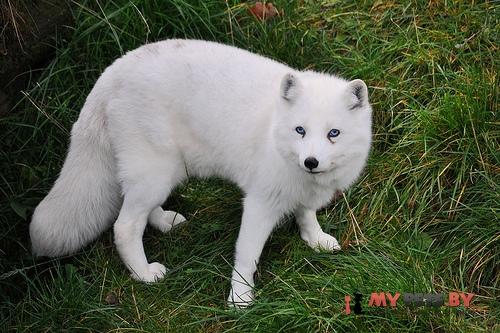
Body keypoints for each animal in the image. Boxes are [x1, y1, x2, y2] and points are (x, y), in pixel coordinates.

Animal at [28, 39, 372, 306]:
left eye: (333, 133)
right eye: (300, 130)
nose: (310, 162)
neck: (274, 130)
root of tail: (114, 69)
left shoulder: (304, 193)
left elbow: (306, 214)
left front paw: (315, 239)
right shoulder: (259, 203)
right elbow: (247, 254)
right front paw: (240, 299)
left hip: (164, 172)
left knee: (139, 208)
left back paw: (165, 221)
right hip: (156, 170)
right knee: (124, 226)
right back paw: (144, 275)